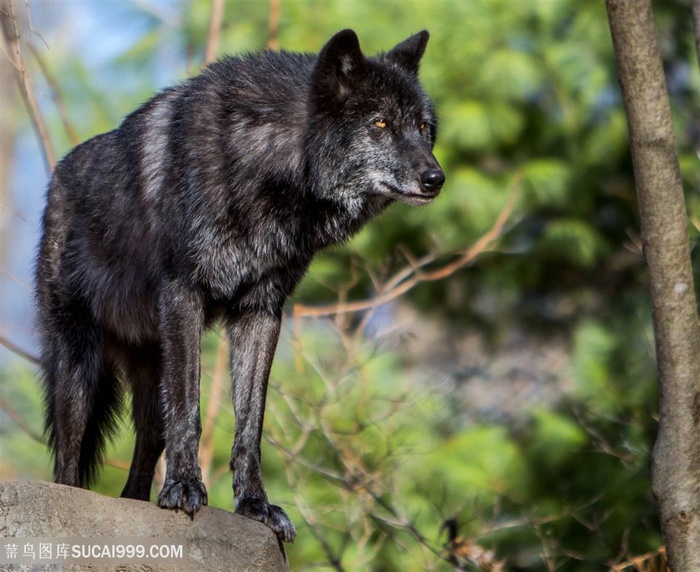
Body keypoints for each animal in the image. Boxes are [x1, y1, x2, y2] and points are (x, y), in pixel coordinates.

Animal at [35, 29, 442, 544]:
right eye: (381, 123)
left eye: (424, 127)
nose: (436, 178)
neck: (268, 168)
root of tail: (56, 180)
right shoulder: (184, 294)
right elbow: (189, 409)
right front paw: (185, 488)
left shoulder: (261, 311)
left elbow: (250, 425)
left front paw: (255, 506)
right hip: (78, 369)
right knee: (68, 462)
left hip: (150, 372)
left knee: (145, 452)